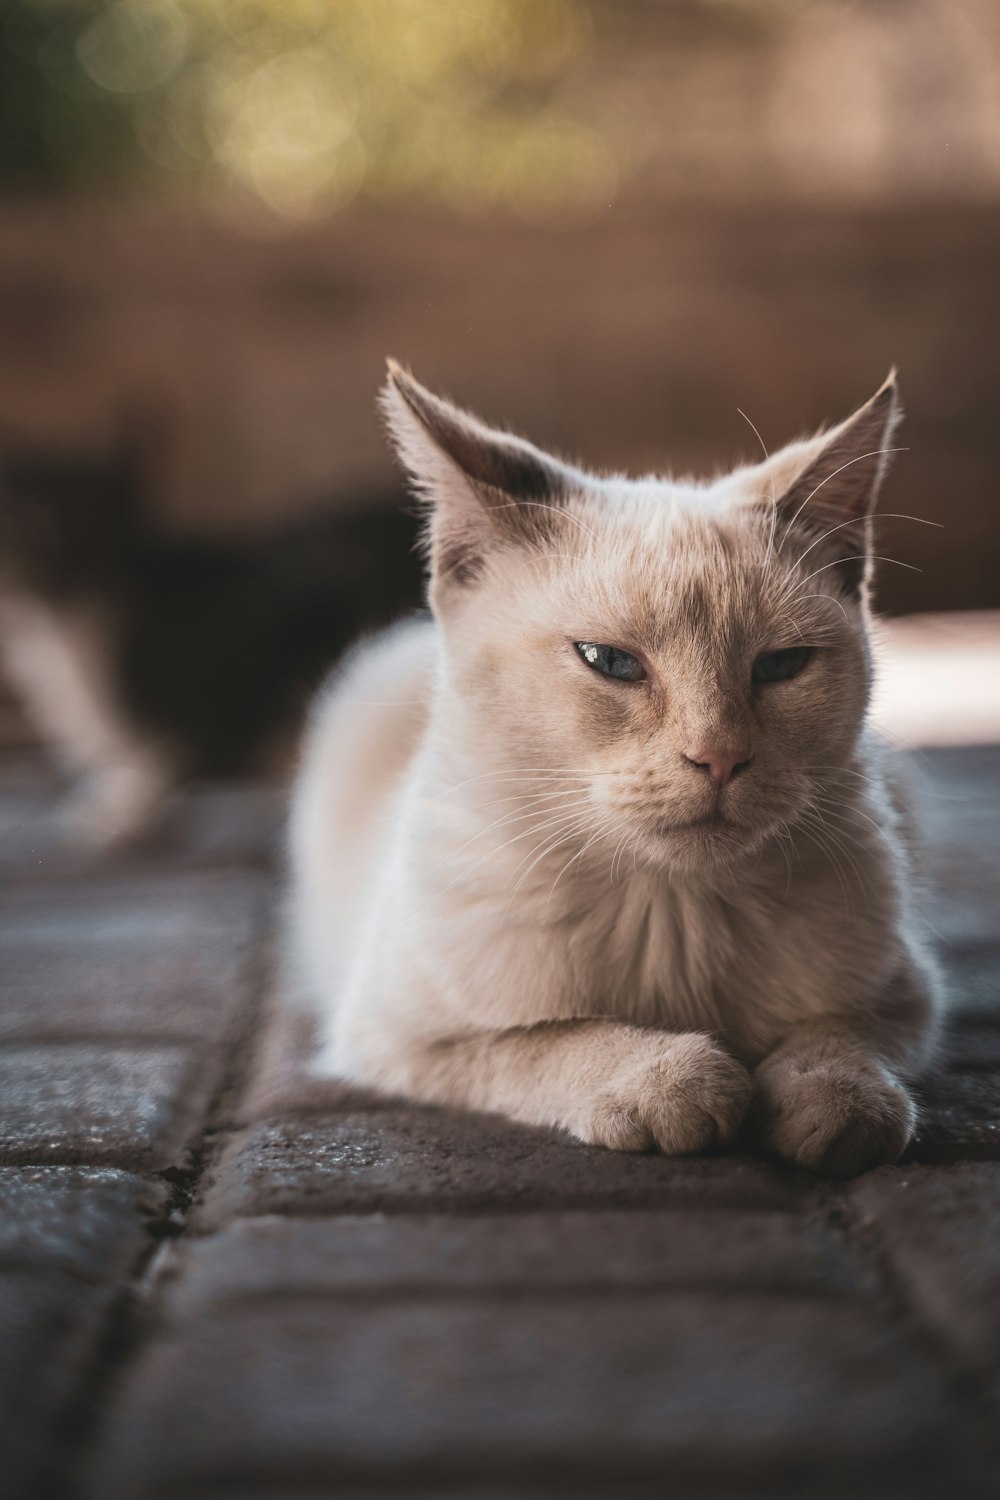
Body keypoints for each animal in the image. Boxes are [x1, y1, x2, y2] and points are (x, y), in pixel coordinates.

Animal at [284, 360, 941, 1170]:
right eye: (610, 662)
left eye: (782, 667)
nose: (720, 757)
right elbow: (553, 1041)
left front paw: (836, 1106)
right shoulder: (402, 1040)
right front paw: (671, 1080)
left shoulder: (906, 996)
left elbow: (836, 1040)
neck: (674, 911)